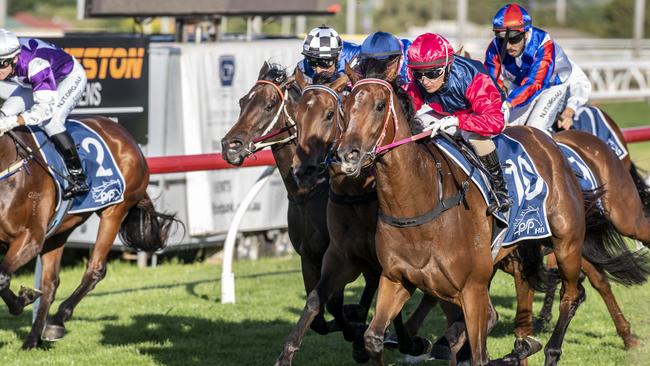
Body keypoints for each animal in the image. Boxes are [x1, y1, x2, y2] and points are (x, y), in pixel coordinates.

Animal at [0, 117, 177, 348]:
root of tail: (123, 133)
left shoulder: (31, 238)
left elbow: (2, 277)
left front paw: (24, 299)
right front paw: (24, 300)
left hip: (114, 210)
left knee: (96, 268)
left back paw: (56, 322)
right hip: (59, 230)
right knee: (50, 284)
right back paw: (32, 339)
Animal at [334, 70, 592, 364]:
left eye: (379, 106)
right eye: (345, 106)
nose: (347, 155)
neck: (419, 204)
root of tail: (548, 141)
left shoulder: (472, 288)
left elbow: (478, 353)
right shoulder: (396, 279)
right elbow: (373, 338)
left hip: (567, 243)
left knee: (572, 295)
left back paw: (551, 350)